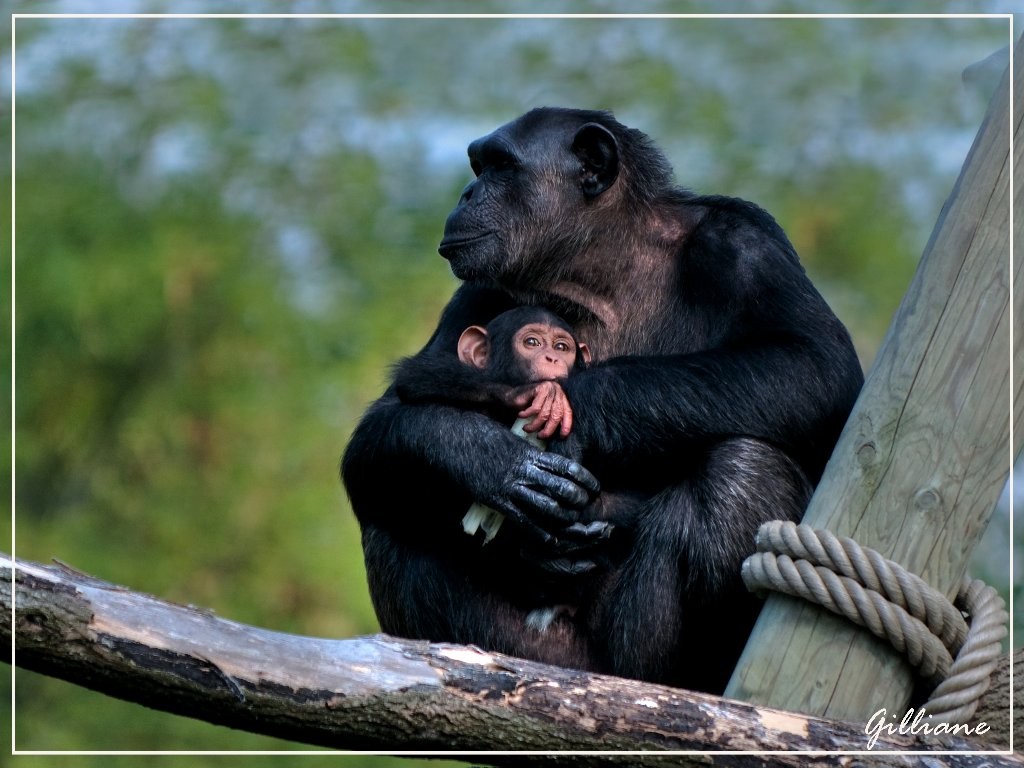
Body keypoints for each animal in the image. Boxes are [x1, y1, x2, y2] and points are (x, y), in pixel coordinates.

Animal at [344, 107, 864, 692]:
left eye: (500, 166)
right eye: (480, 165)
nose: (467, 191)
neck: (599, 267)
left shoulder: (746, 244)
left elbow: (813, 364)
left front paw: (576, 407)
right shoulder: (479, 289)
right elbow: (397, 408)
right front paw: (489, 459)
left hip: (634, 657)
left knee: (743, 468)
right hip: (544, 653)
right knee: (391, 490)